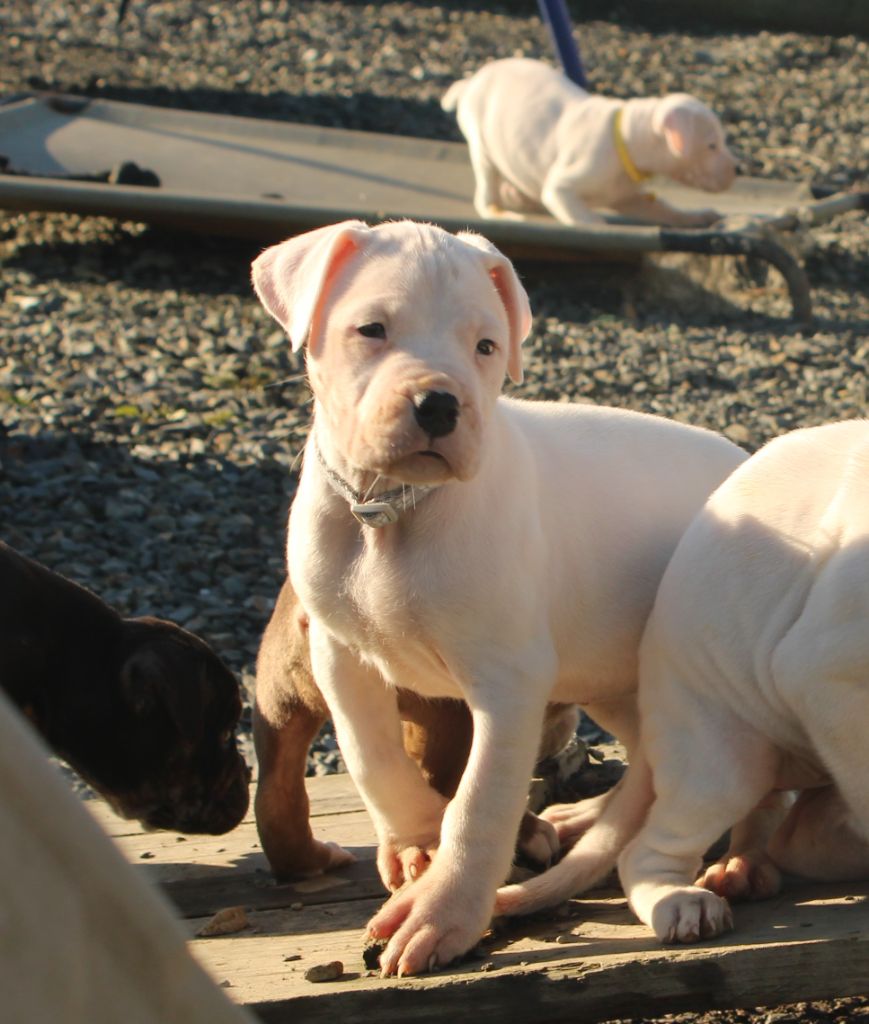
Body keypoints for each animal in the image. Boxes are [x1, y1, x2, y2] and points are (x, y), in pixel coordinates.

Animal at [250, 222, 745, 974]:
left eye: (485, 346)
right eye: (371, 329)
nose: (438, 403)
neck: (392, 514)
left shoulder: (507, 686)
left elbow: (480, 802)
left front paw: (443, 913)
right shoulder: (341, 655)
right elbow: (373, 756)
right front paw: (416, 839)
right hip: (606, 677)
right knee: (646, 755)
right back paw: (581, 818)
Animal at [444, 58, 736, 231]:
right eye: (712, 145)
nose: (737, 171)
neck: (625, 139)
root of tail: (470, 81)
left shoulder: (630, 198)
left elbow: (664, 209)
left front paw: (701, 217)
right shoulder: (564, 186)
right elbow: (585, 217)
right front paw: (601, 226)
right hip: (481, 142)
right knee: (486, 191)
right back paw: (504, 214)